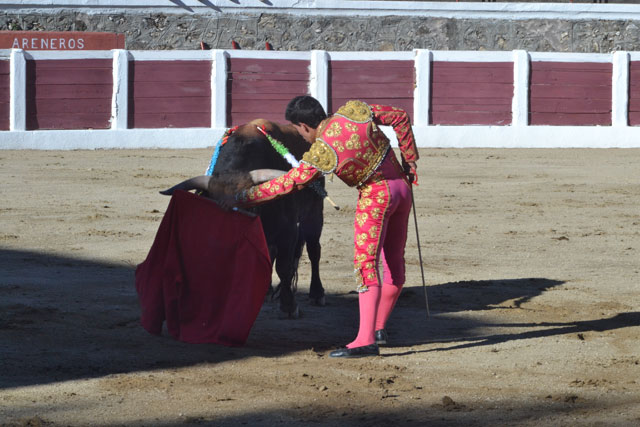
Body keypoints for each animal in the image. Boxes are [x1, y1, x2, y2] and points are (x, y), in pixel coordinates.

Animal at [211, 120, 324, 318]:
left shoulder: (288, 230)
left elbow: (284, 267)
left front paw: (289, 306)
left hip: (314, 213)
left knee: (313, 250)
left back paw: (317, 293)